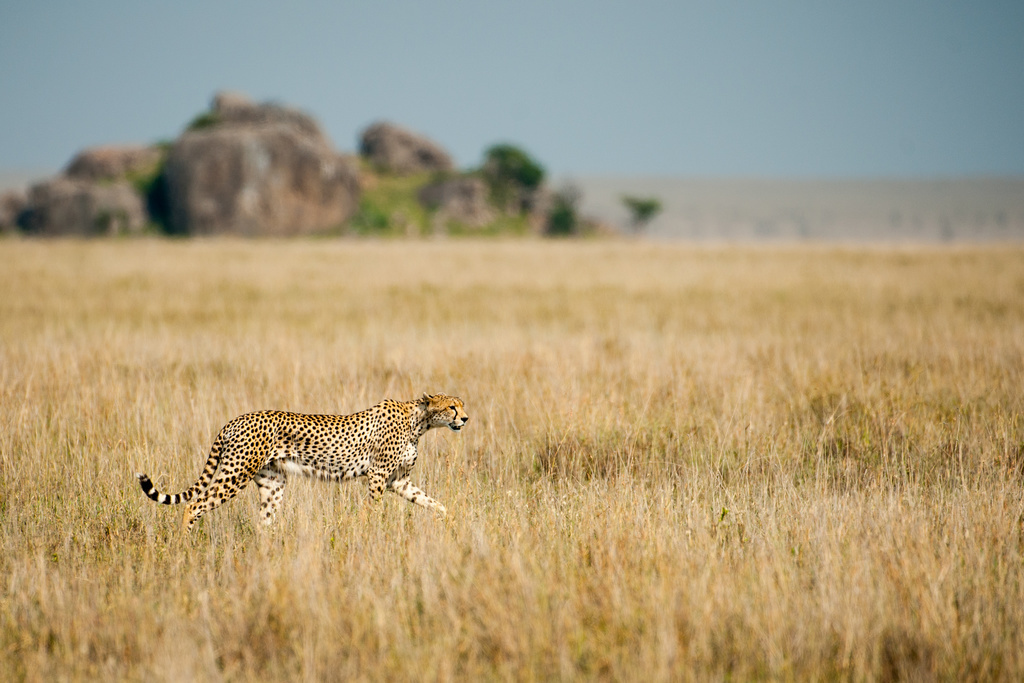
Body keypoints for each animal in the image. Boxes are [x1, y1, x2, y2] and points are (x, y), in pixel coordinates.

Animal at [136, 393, 467, 531]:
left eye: (461, 405)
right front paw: (373, 532)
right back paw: (185, 545)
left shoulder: (399, 480)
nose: (465, 418)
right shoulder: (377, 476)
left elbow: (432, 502)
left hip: (272, 483)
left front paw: (450, 520)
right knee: (194, 505)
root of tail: (235, 419)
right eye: (452, 407)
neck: (420, 422)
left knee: (264, 522)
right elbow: (375, 510)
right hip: (236, 473)